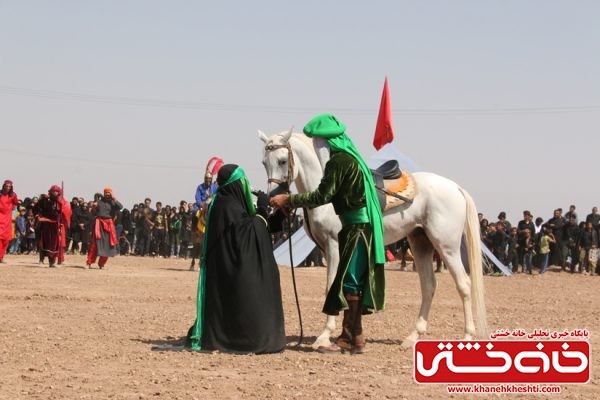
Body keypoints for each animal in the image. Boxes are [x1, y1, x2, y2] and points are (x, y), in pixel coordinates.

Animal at [258, 130, 488, 348]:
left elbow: (331, 286)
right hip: (421, 243)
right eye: (264, 162)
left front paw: (324, 336)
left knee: (464, 285)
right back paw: (413, 337)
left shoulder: (333, 246)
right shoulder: (329, 249)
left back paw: (467, 337)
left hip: (446, 246)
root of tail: (456, 188)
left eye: (282, 161)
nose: (272, 199)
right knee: (429, 286)